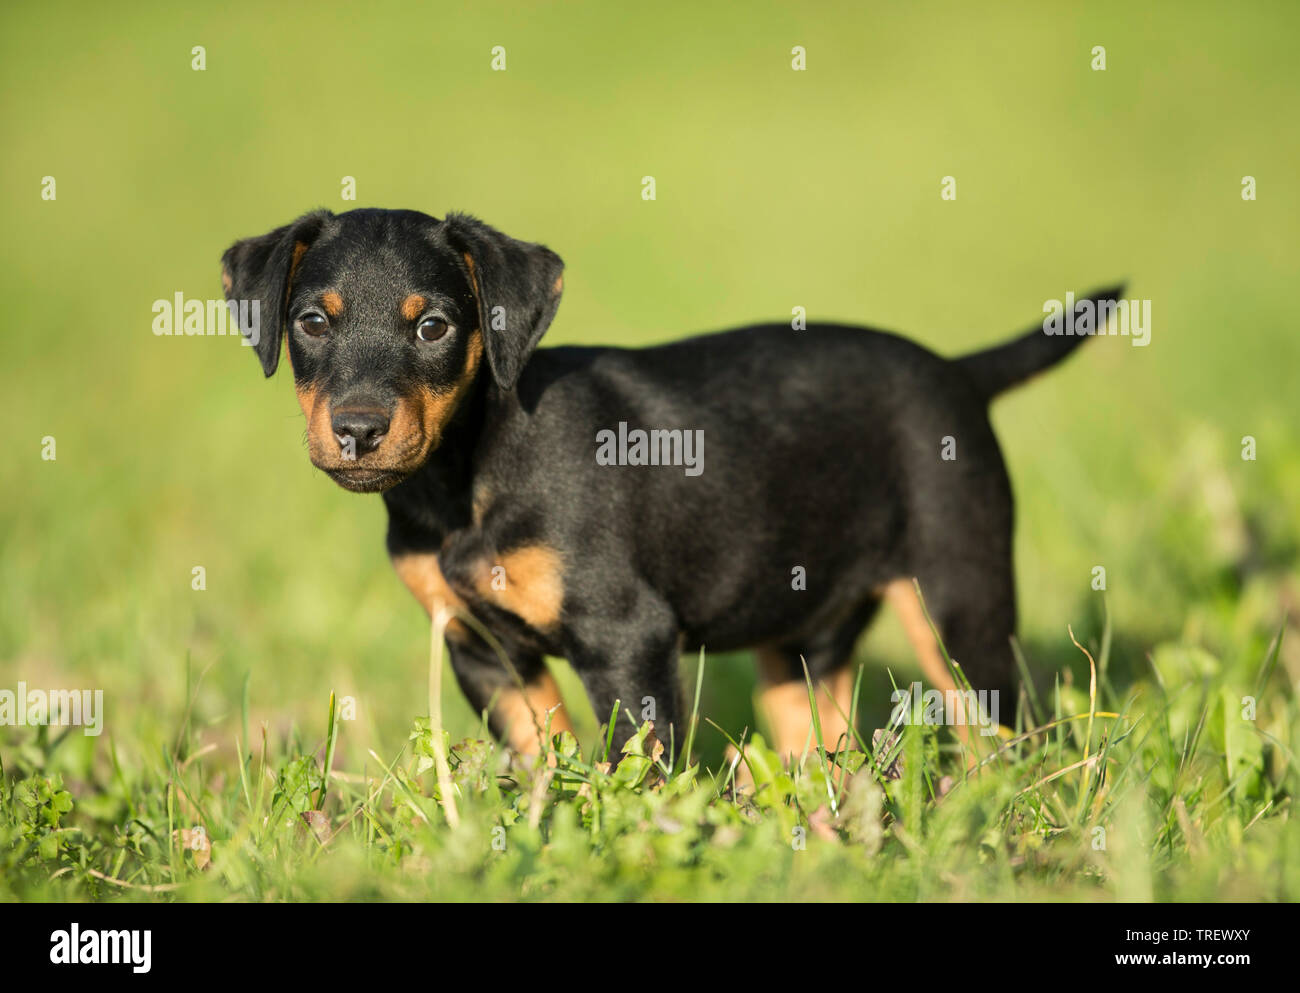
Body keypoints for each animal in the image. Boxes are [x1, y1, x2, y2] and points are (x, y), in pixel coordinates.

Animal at [223, 207, 1118, 753]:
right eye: (311, 321)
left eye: (435, 326)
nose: (358, 429)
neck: (464, 477)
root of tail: (959, 373)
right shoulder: (482, 650)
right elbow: (542, 758)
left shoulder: (627, 638)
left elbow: (639, 768)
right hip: (801, 631)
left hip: (958, 604)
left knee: (1006, 733)